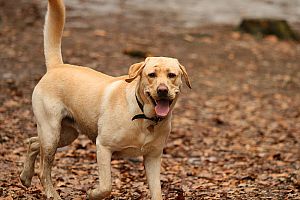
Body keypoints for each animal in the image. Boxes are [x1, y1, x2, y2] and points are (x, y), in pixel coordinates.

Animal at [19, 0, 191, 200]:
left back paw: (25, 177)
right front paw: (92, 193)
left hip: (67, 134)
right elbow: (106, 186)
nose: (162, 91)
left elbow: (157, 192)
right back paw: (51, 193)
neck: (144, 116)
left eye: (172, 75)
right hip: (51, 133)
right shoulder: (103, 147)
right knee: (43, 169)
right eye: (151, 75)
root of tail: (57, 66)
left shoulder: (153, 158)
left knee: (32, 142)